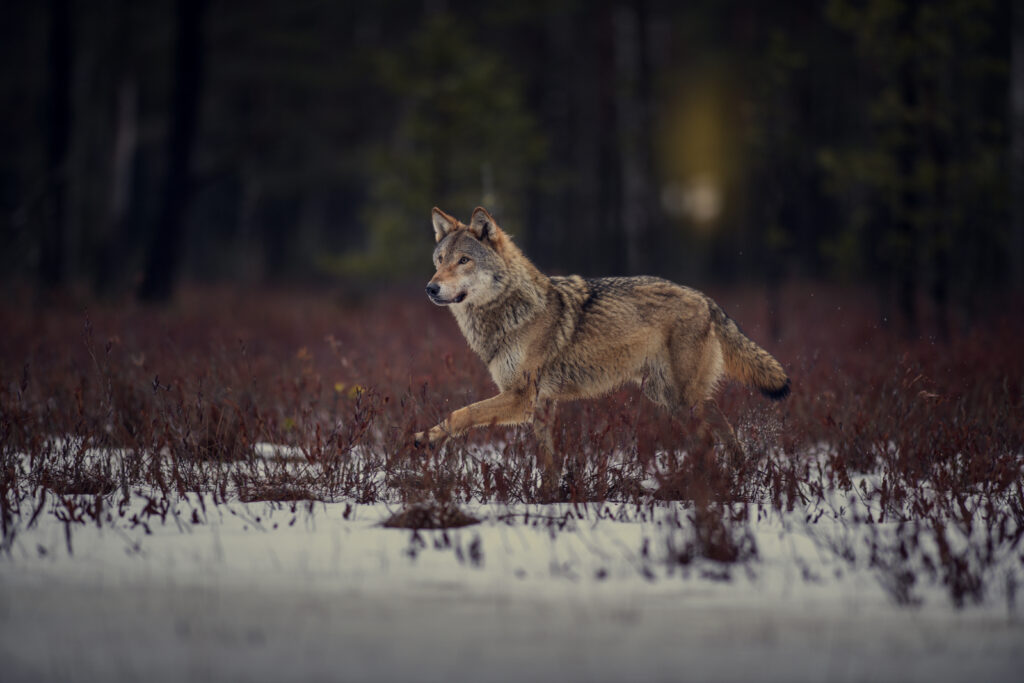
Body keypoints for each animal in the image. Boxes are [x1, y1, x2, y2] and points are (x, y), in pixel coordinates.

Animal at [411, 205, 786, 483]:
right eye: (440, 260)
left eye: (464, 260)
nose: (431, 288)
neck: (510, 310)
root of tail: (707, 300)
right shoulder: (541, 406)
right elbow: (548, 461)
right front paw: (549, 497)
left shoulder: (521, 398)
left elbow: (462, 412)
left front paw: (425, 439)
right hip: (672, 398)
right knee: (725, 431)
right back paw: (732, 479)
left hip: (680, 399)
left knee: (710, 438)